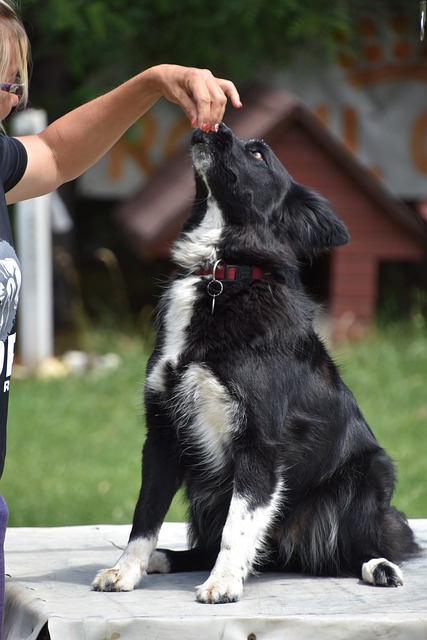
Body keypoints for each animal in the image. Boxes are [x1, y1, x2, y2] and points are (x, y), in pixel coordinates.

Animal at [93, 122, 418, 604]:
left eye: (259, 153)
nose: (212, 126)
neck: (220, 276)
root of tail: (288, 552)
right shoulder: (162, 434)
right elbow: (144, 516)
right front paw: (126, 570)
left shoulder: (259, 442)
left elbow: (239, 524)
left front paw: (224, 583)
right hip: (204, 490)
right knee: (213, 546)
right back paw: (164, 559)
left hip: (365, 476)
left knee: (351, 551)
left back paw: (378, 566)